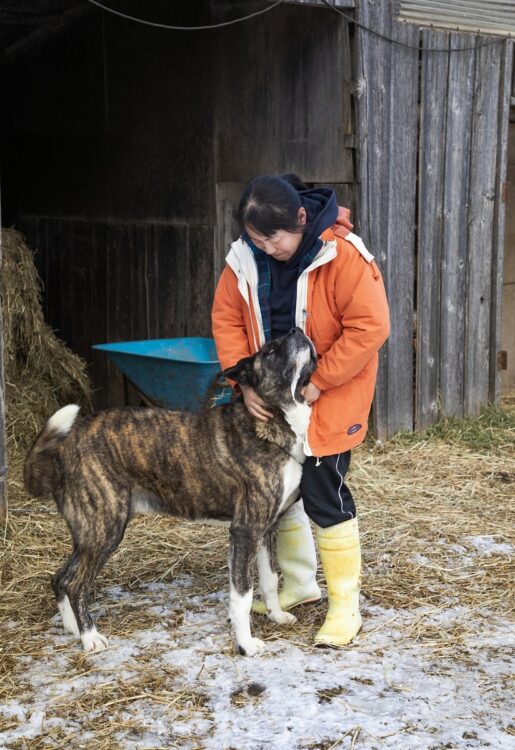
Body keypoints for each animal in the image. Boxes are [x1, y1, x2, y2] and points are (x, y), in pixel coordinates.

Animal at [25, 328, 318, 656]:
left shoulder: (266, 530)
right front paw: (244, 644)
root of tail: (67, 444)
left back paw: (73, 628)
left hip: (89, 533)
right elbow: (242, 595)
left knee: (60, 579)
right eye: (269, 351)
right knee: (76, 584)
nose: (297, 329)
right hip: (105, 529)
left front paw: (276, 615)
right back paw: (90, 637)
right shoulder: (245, 530)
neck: (270, 418)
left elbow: (268, 579)